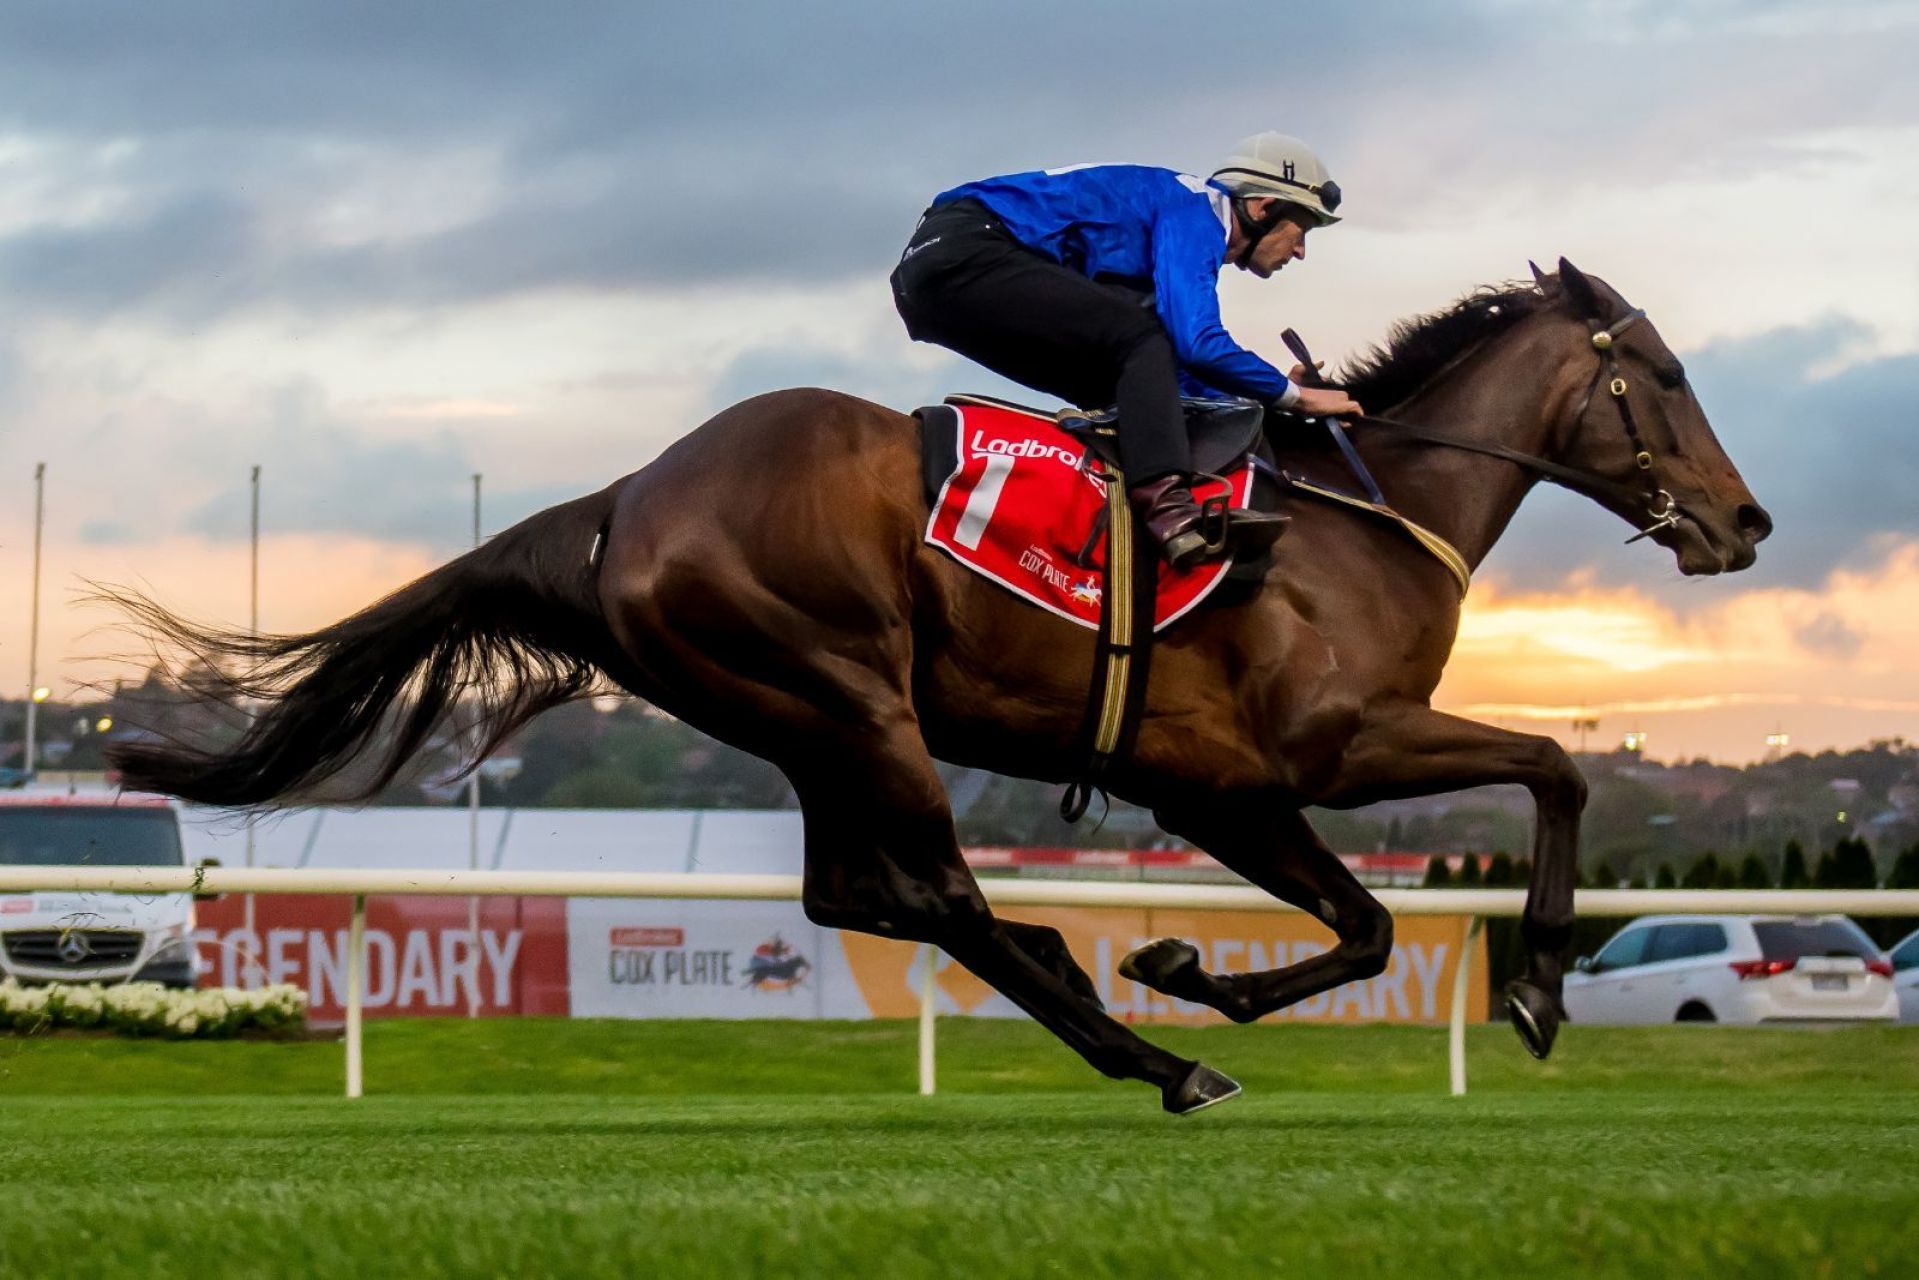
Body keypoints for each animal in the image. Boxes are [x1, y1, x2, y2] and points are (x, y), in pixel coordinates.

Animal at [112, 257, 1773, 1113]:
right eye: (1666, 376)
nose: (1743, 521)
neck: (1363, 516)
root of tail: (626, 497)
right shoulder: (1310, 752)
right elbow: (1534, 780)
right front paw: (1533, 980)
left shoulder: (1222, 787)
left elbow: (1374, 918)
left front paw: (1190, 966)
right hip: (851, 698)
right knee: (938, 895)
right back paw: (1141, 1044)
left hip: (802, 722)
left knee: (856, 893)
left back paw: (1095, 995)